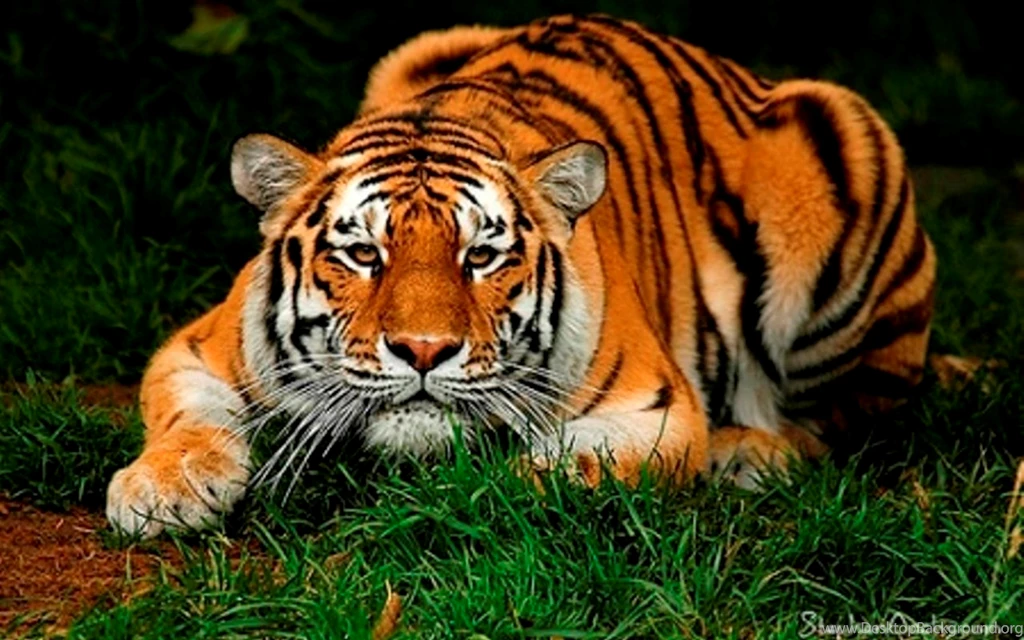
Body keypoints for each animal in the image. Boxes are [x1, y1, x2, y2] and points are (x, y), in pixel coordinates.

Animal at [106, 14, 936, 538]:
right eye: (364, 254)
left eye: (481, 256)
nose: (424, 351)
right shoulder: (196, 348)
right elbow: (186, 417)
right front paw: (159, 490)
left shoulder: (656, 411)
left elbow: (565, 470)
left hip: (842, 147)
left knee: (847, 424)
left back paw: (748, 454)